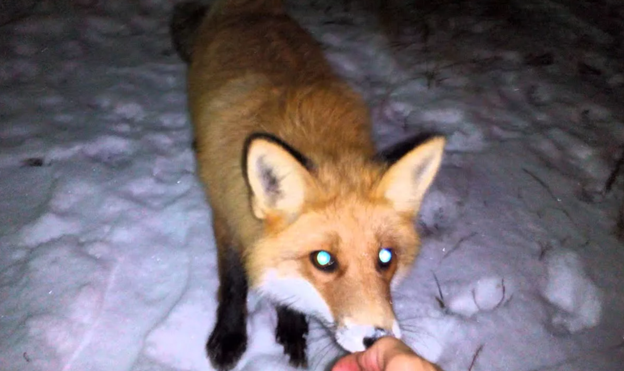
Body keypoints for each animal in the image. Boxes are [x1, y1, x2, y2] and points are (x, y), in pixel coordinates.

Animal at [171, 1, 444, 370]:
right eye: (324, 260)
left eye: (385, 257)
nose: (377, 338)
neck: (309, 135)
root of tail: (251, 7)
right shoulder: (227, 214)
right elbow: (233, 281)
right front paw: (229, 336)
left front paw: (290, 324)